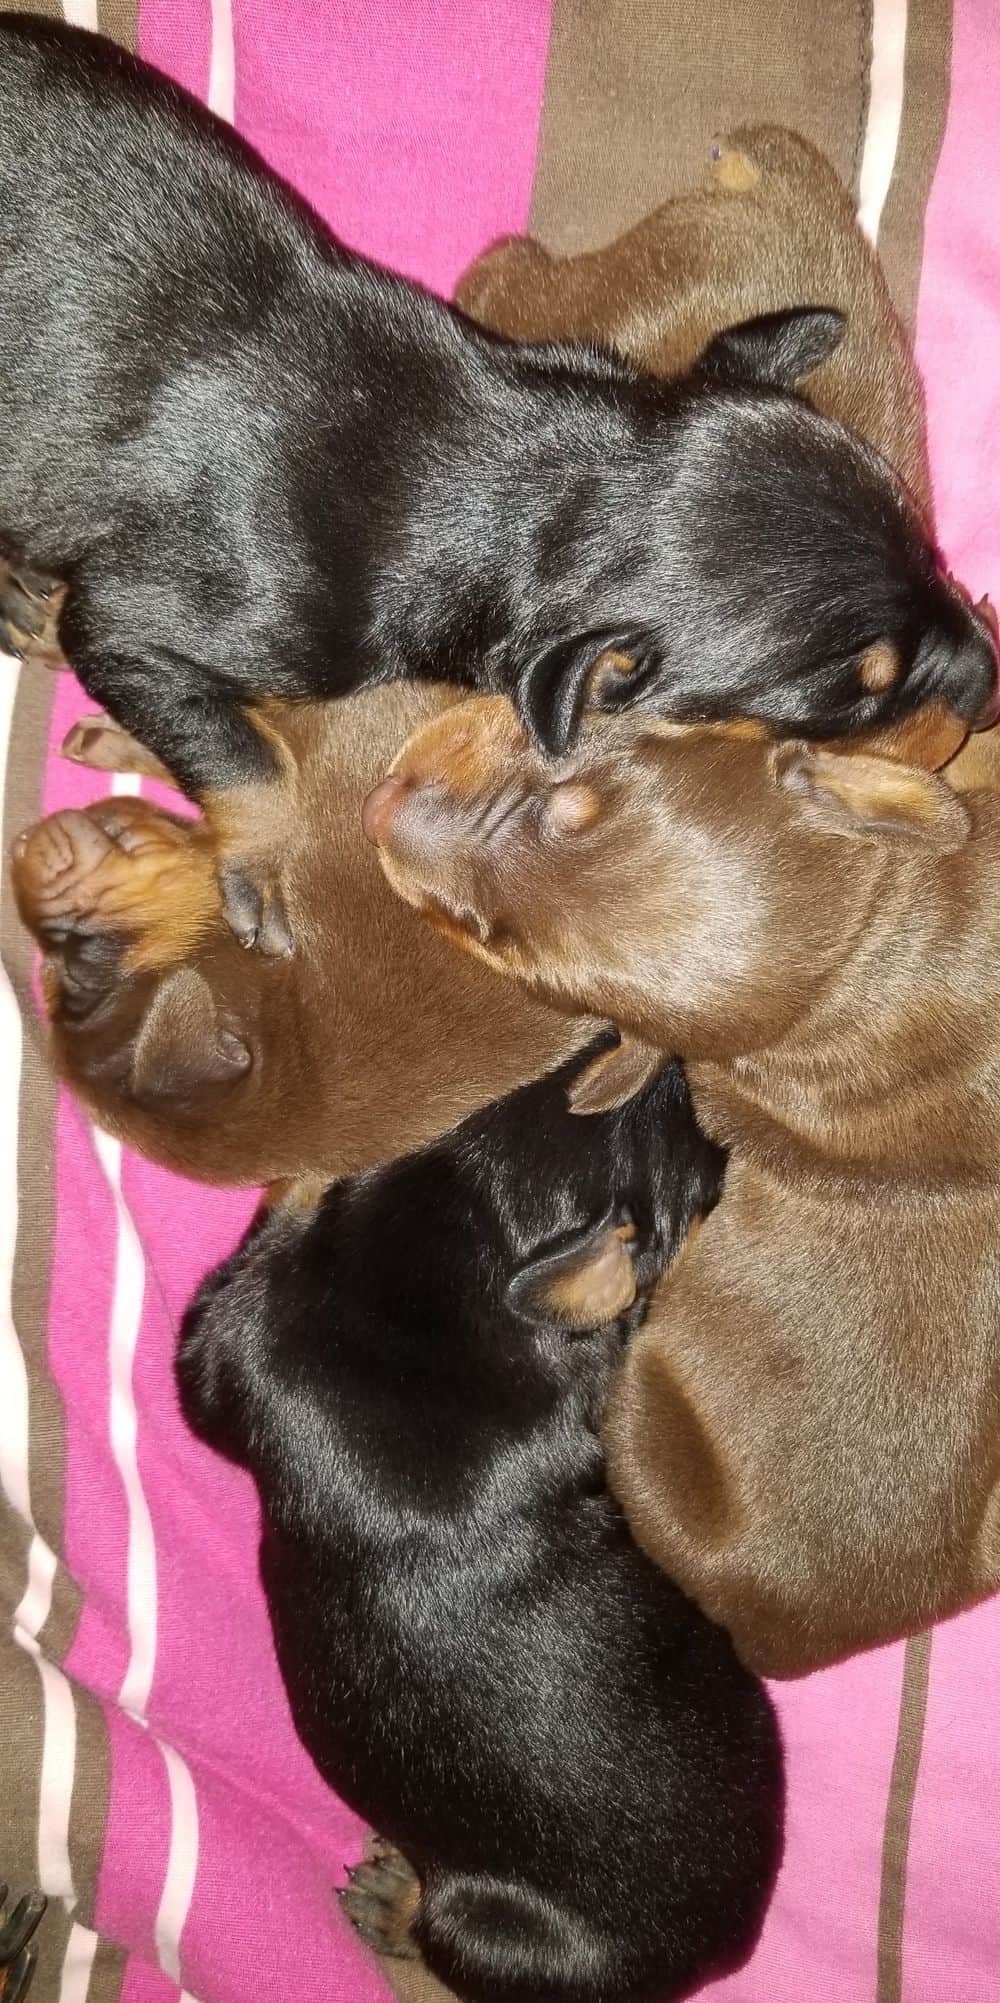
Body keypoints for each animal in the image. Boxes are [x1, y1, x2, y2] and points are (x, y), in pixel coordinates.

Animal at [180, 1049, 781, 2003]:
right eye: (708, 1176)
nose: (695, 1065)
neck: (450, 1251)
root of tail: (721, 1956)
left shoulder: (220, 1349)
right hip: (485, 1919)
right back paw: (394, 1904)